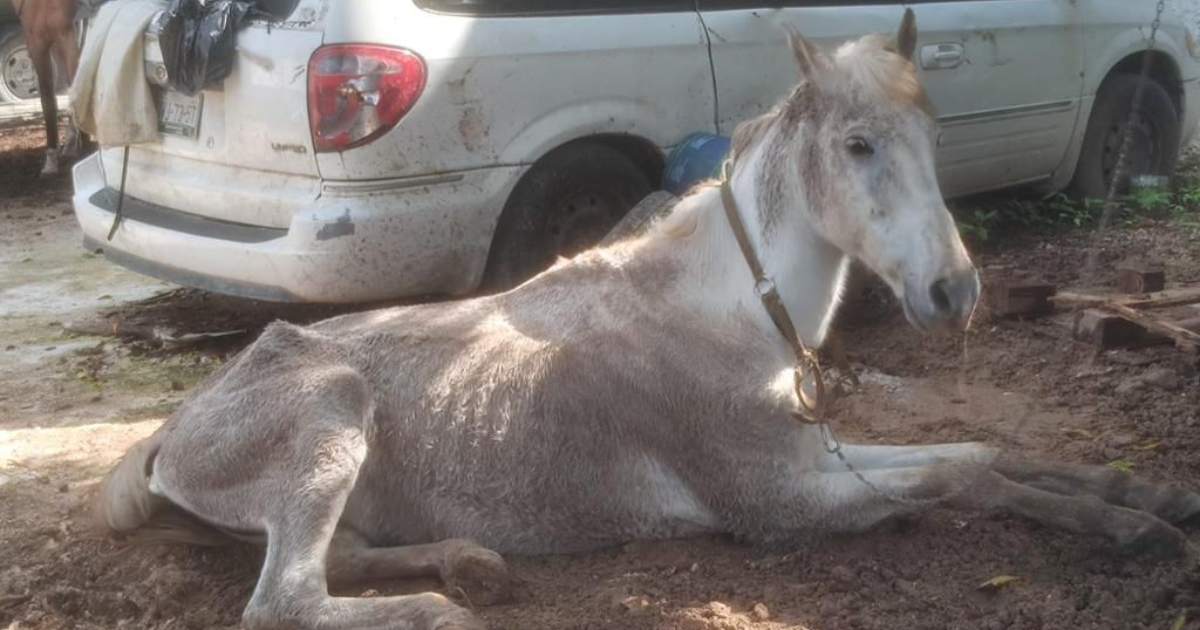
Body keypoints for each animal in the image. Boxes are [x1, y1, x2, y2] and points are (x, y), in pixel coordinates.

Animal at [96, 13, 1200, 628]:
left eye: (931, 137)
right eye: (856, 145)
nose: (953, 292)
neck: (725, 314)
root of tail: (170, 432)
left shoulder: (824, 454)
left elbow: (982, 454)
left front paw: (1141, 496)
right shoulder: (783, 503)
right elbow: (964, 476)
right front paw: (1132, 526)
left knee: (339, 562)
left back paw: (470, 563)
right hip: (332, 416)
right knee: (287, 599)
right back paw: (442, 609)